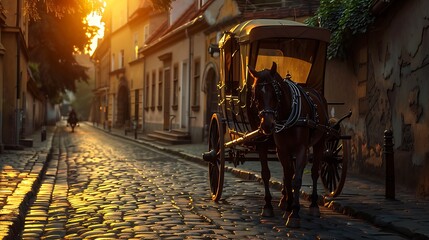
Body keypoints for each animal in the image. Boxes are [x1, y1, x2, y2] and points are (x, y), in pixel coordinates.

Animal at [247, 61, 328, 228]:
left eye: (275, 93)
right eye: (256, 94)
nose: (267, 125)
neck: (287, 113)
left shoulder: (302, 149)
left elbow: (296, 180)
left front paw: (294, 214)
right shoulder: (282, 149)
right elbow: (282, 175)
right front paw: (280, 207)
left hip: (320, 142)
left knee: (315, 172)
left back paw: (314, 205)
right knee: (288, 173)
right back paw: (285, 202)